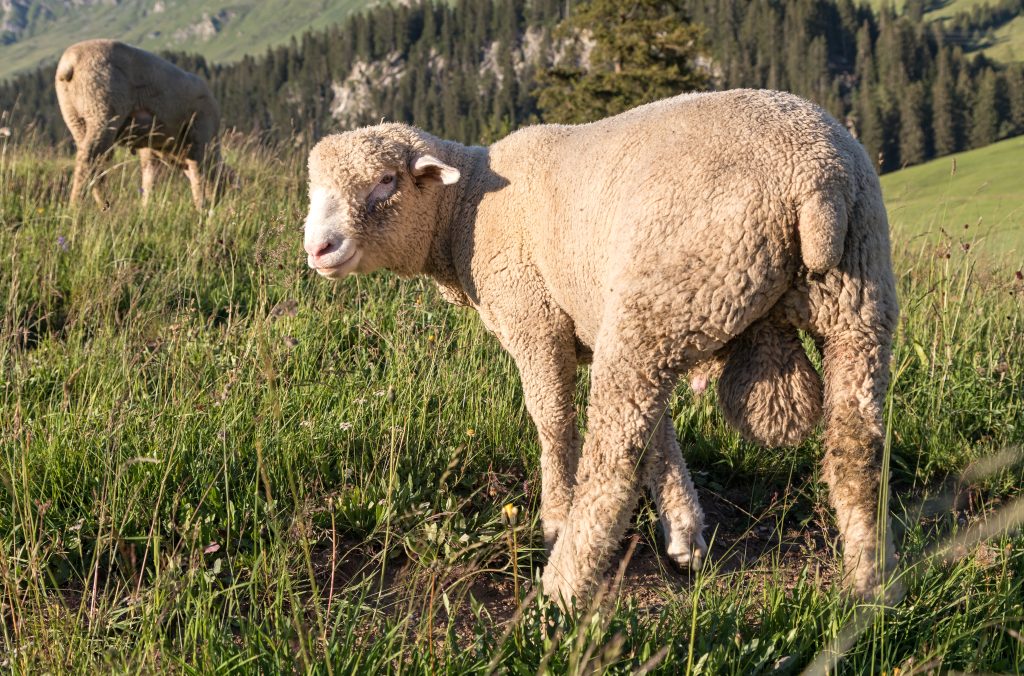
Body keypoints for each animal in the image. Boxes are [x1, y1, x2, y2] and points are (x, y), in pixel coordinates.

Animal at [54, 40, 228, 208]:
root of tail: (69, 63)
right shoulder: (201, 134)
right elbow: (199, 174)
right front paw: (202, 208)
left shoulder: (151, 146)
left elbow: (149, 176)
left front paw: (146, 207)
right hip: (102, 107)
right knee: (89, 158)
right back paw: (76, 207)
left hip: (75, 116)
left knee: (92, 160)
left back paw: (105, 206)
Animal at [299, 88, 901, 602]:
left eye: (385, 181)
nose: (317, 249)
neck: (465, 208)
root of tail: (816, 182)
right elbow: (662, 435)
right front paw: (685, 535)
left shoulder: (534, 321)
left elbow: (554, 423)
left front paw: (554, 518)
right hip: (856, 296)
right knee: (856, 446)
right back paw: (868, 587)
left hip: (664, 301)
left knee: (613, 460)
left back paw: (563, 584)